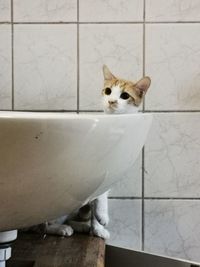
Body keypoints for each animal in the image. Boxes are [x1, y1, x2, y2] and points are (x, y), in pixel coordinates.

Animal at [23, 65, 150, 241]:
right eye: (108, 91)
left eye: (125, 95)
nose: (111, 101)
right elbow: (99, 197)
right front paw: (101, 219)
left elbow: (99, 197)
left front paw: (97, 229)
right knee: (39, 227)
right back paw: (61, 228)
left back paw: (81, 226)